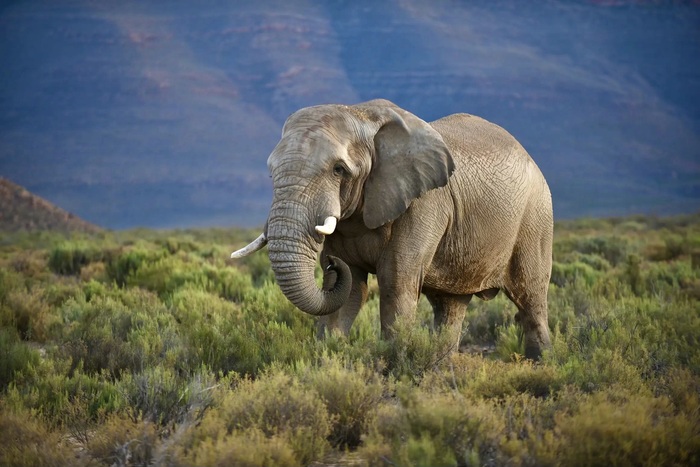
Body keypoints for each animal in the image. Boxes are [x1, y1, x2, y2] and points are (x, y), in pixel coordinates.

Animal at [232, 99, 553, 360]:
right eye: (271, 172)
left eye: (339, 170)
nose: (330, 264)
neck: (362, 116)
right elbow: (350, 289)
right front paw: (328, 358)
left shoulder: (424, 202)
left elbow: (395, 279)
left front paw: (393, 364)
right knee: (450, 305)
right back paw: (442, 366)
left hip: (536, 218)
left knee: (530, 295)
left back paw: (540, 362)